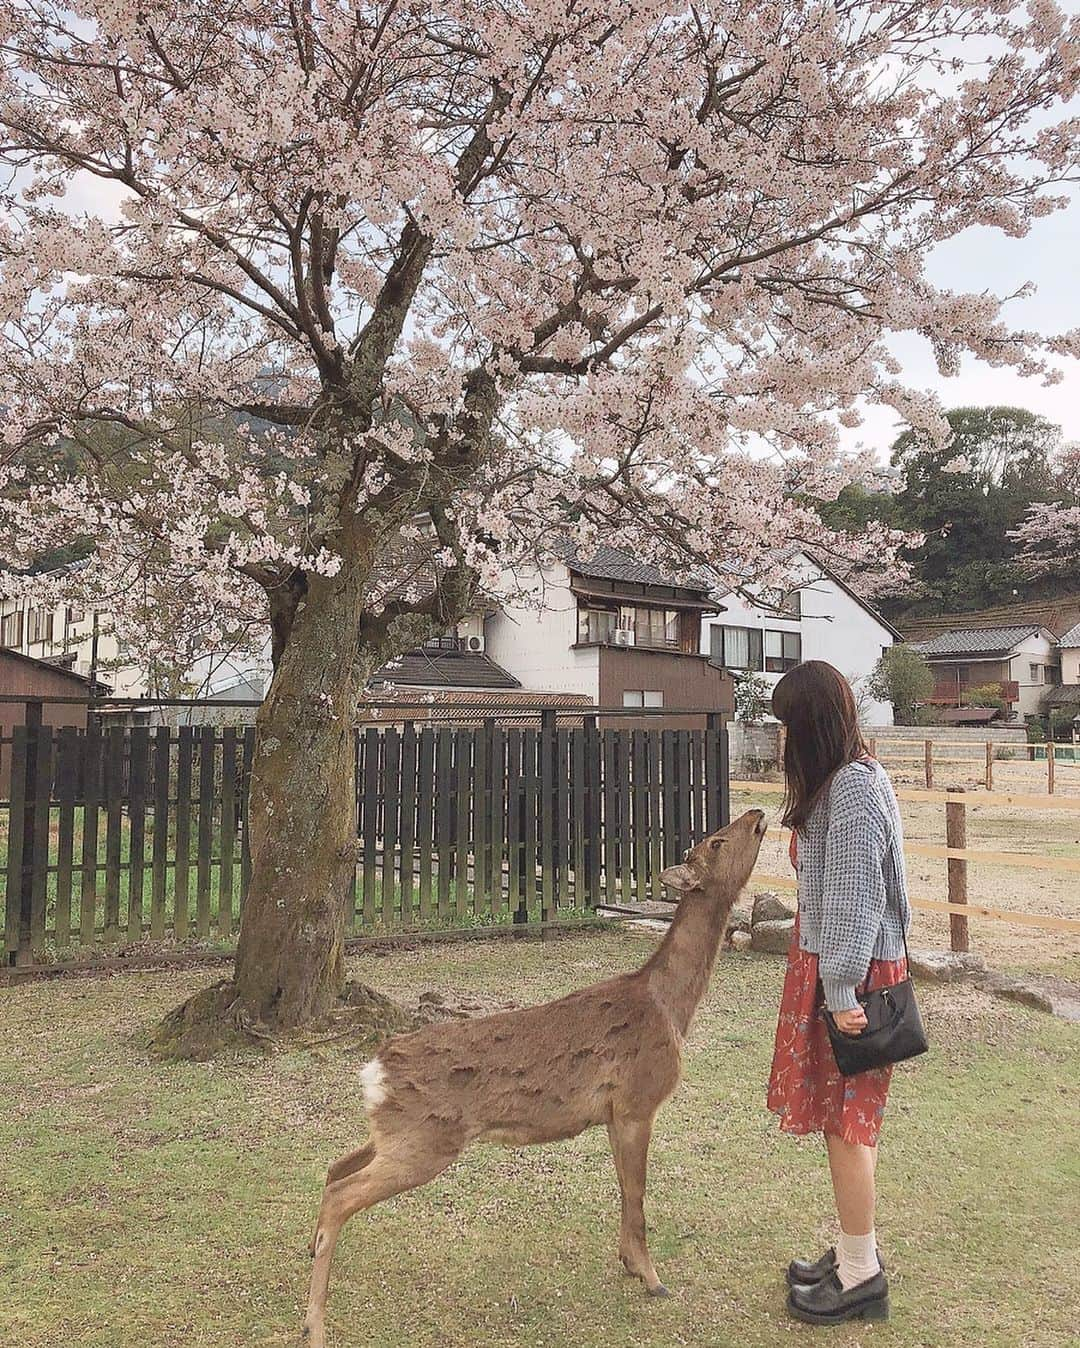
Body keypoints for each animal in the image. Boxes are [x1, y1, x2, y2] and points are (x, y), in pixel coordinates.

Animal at [299, 803, 760, 1342]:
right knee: (341, 1193)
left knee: (334, 1168)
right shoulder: (636, 1101)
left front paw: (629, 1264)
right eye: (716, 842)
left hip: (395, 1132)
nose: (757, 813)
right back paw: (314, 1326)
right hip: (425, 1142)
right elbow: (639, 1193)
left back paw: (310, 1250)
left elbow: (625, 1191)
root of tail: (374, 1067)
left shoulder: (612, 1114)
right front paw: (652, 1278)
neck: (668, 1008)